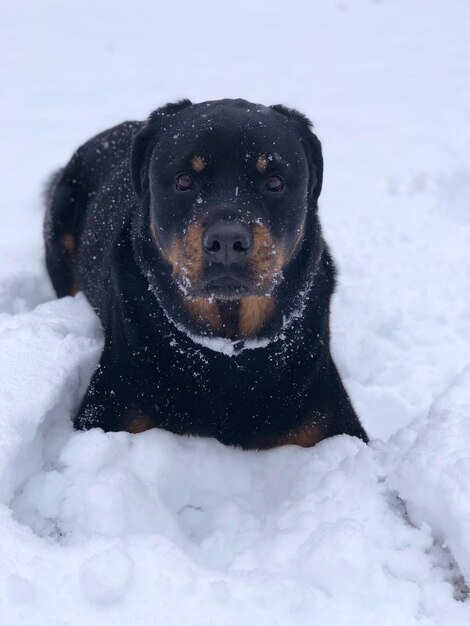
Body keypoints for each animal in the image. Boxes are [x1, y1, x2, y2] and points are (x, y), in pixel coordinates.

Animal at [44, 96, 368, 448]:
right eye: (184, 181)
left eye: (275, 183)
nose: (226, 240)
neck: (228, 353)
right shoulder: (106, 410)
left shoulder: (333, 421)